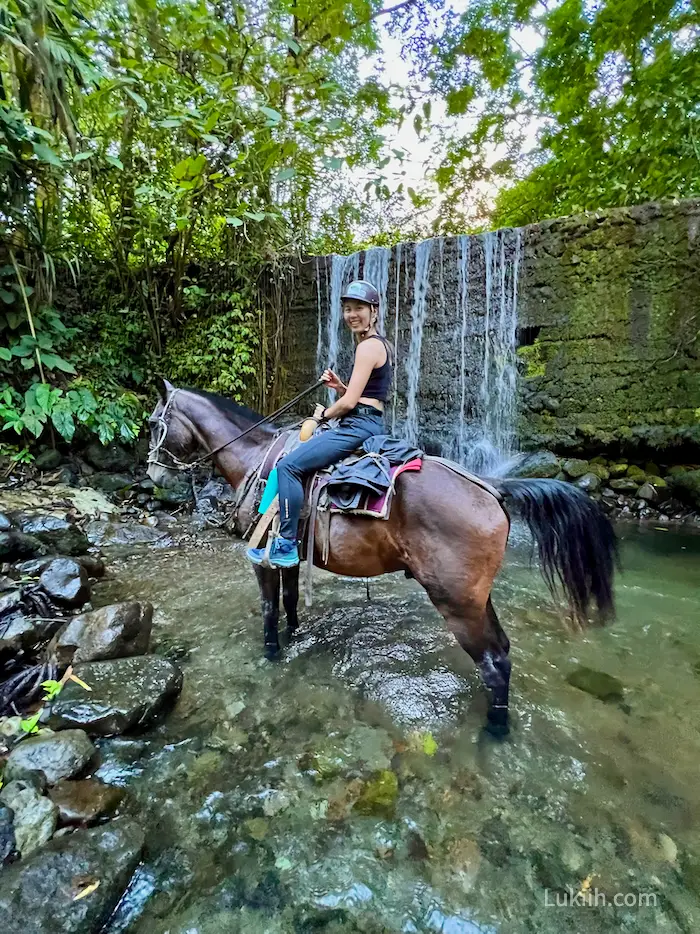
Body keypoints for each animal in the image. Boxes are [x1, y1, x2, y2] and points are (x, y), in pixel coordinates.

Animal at [148, 380, 616, 740]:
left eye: (154, 423)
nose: (152, 473)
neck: (257, 460)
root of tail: (491, 486)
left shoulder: (261, 556)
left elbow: (267, 607)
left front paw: (271, 652)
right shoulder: (287, 553)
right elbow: (290, 601)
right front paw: (295, 637)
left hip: (457, 603)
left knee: (492, 664)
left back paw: (494, 732)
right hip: (477, 598)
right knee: (502, 651)